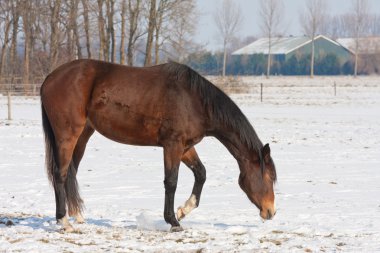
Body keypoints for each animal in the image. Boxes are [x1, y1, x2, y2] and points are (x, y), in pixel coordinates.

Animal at [40, 59, 278, 233]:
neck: (194, 100)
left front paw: (183, 211)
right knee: (60, 174)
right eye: (268, 177)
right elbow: (171, 182)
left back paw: (77, 216)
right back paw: (64, 222)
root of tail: (50, 78)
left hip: (83, 135)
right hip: (67, 135)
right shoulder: (172, 145)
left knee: (71, 173)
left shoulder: (185, 147)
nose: (271, 212)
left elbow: (201, 173)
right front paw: (173, 221)